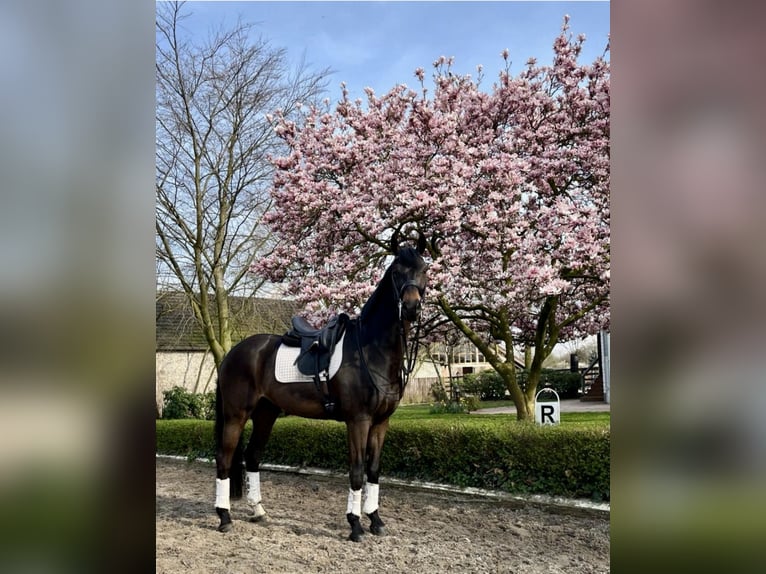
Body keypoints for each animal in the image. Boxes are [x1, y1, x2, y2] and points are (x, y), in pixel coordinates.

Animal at [213, 232, 429, 542]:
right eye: (396, 272)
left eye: (424, 269)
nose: (411, 307)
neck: (369, 349)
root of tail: (233, 353)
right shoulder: (358, 421)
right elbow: (357, 471)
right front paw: (355, 525)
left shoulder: (381, 422)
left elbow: (374, 471)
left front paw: (376, 520)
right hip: (236, 415)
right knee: (224, 458)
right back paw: (224, 517)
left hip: (266, 414)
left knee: (251, 457)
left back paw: (259, 511)